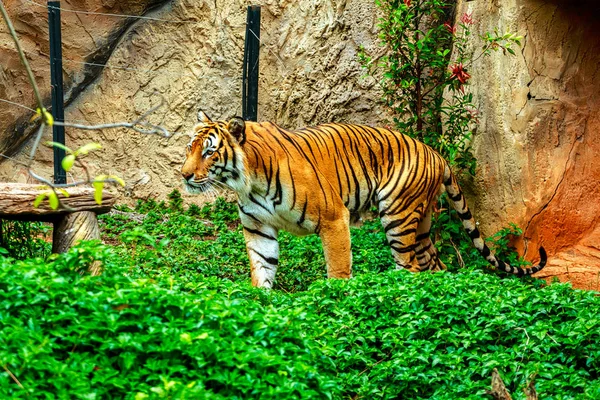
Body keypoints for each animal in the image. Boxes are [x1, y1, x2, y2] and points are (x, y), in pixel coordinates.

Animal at [180, 111, 548, 290]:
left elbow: (338, 267)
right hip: (422, 223)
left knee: (409, 267)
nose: (183, 175)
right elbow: (262, 268)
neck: (248, 182)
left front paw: (337, 300)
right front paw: (258, 303)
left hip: (397, 215)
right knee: (434, 266)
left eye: (210, 152)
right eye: (190, 147)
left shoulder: (333, 217)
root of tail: (436, 153)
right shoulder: (258, 229)